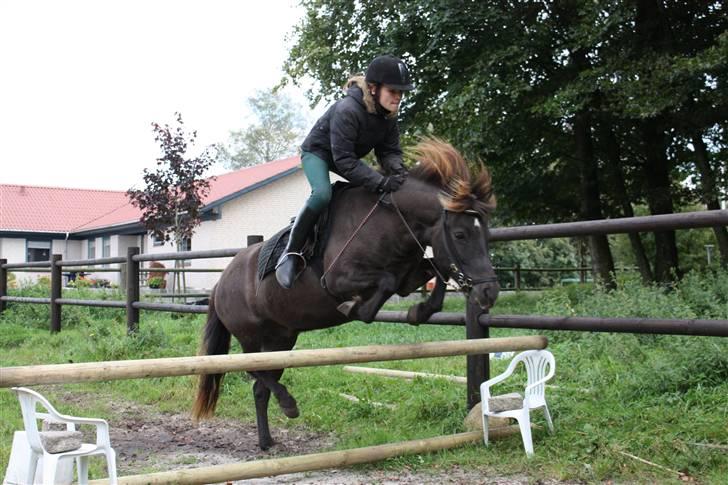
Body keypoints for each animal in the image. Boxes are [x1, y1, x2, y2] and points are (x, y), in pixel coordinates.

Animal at [193, 137, 500, 450]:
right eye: (460, 235)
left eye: (486, 235)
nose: (489, 291)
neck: (390, 221)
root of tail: (220, 284)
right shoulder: (337, 280)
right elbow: (387, 282)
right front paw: (354, 308)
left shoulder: (409, 274)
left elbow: (436, 270)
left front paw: (419, 311)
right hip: (251, 337)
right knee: (254, 371)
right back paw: (288, 404)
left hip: (281, 339)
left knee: (260, 384)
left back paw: (267, 440)